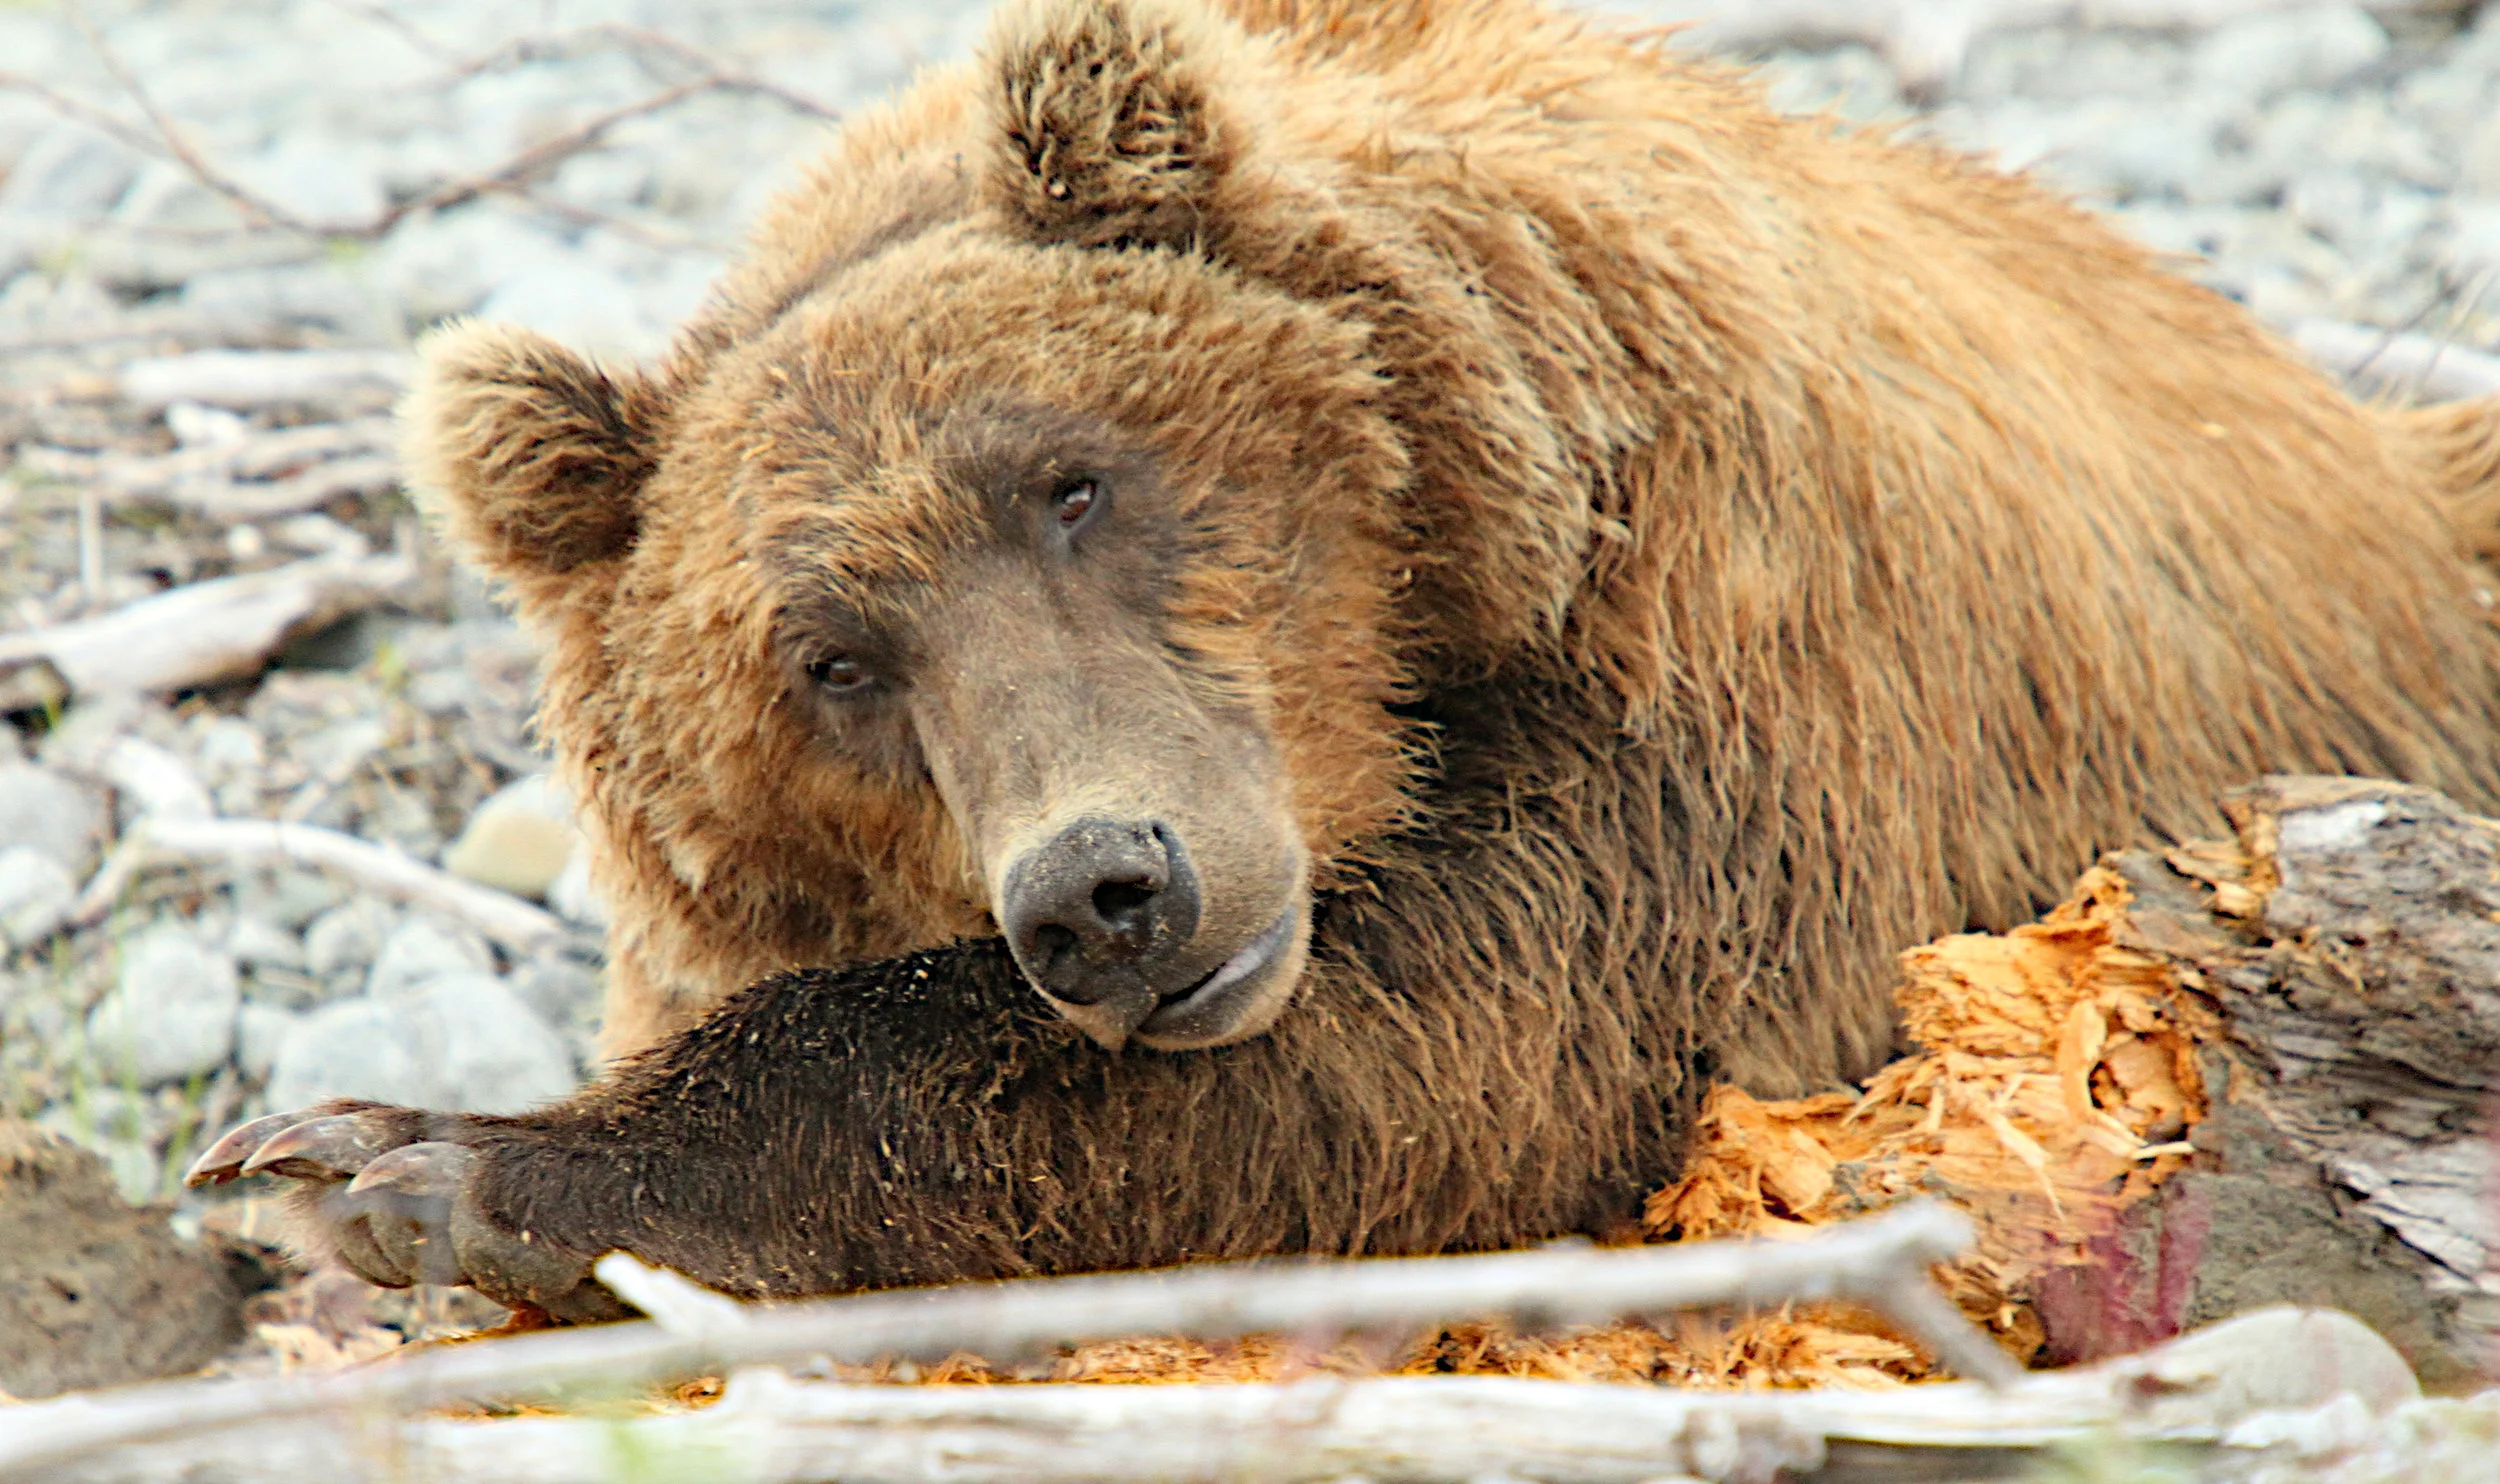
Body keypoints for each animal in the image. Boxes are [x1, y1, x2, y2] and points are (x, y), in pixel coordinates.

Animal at [190, 0, 2500, 1320]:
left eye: (1075, 479)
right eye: (834, 659)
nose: (1106, 890)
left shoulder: (1757, 668)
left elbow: (1494, 1030)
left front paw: (402, 1156)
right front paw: (339, 1163)